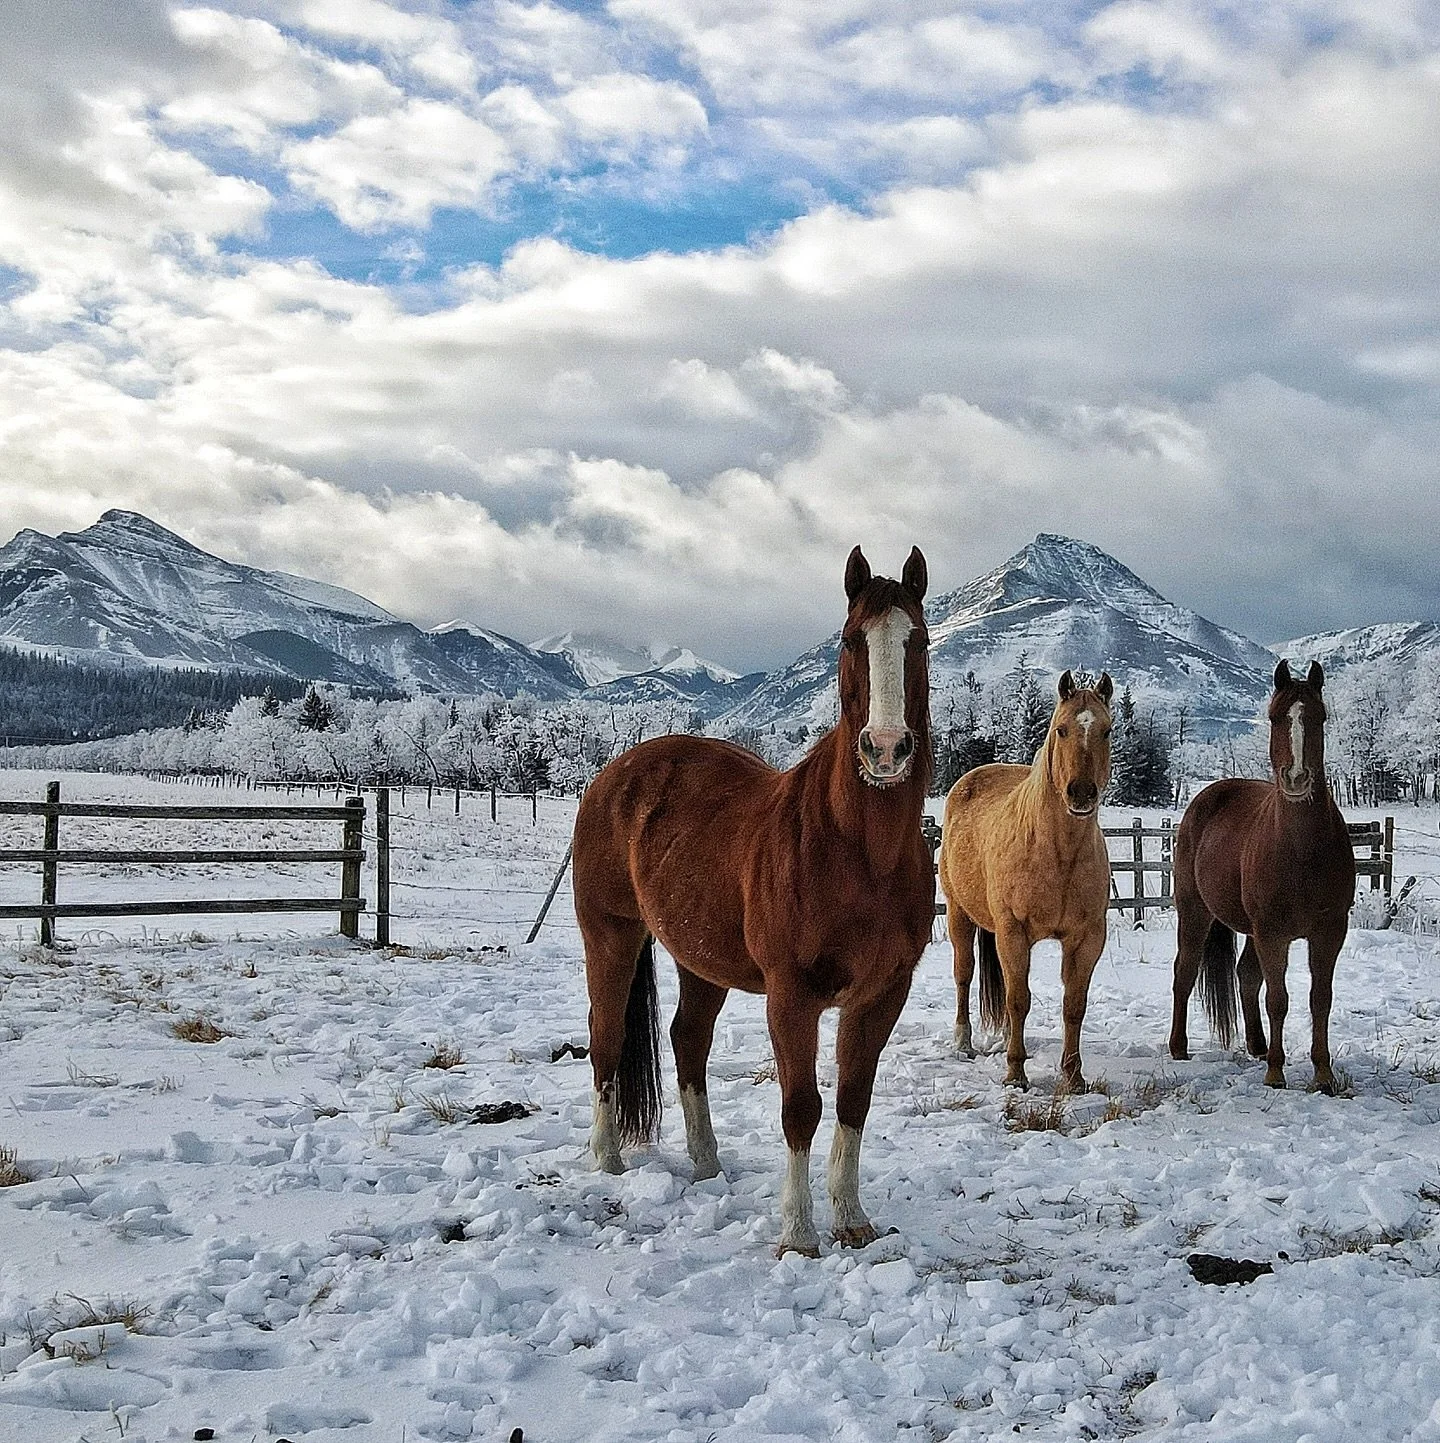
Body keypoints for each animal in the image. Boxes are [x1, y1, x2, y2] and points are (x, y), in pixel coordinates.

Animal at [572, 546, 934, 1257]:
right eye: (851, 640)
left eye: (920, 642)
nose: (885, 749)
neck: (859, 853)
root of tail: (613, 775)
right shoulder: (791, 996)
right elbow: (802, 1107)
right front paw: (798, 1234)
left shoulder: (883, 994)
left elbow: (853, 1100)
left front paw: (851, 1220)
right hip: (611, 936)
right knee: (605, 1039)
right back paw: (608, 1158)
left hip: (699, 960)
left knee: (687, 1042)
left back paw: (707, 1163)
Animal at [938, 670, 1114, 1092]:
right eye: (1061, 729)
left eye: (1107, 731)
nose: (1081, 793)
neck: (1057, 851)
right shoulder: (1014, 931)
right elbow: (1019, 999)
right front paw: (1015, 1074)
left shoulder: (1087, 938)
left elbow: (1073, 1006)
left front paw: (1073, 1077)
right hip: (958, 915)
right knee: (964, 974)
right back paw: (963, 1042)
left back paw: (1004, 1039)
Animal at [1169, 659, 1355, 1092]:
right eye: (1274, 717)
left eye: (1320, 717)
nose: (1297, 778)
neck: (1300, 850)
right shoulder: (1273, 933)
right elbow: (1279, 999)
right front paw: (1275, 1073)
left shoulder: (1329, 932)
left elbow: (1320, 999)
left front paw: (1323, 1075)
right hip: (1195, 913)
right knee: (1184, 972)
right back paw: (1179, 1046)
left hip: (1251, 929)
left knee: (1245, 975)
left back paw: (1257, 1043)